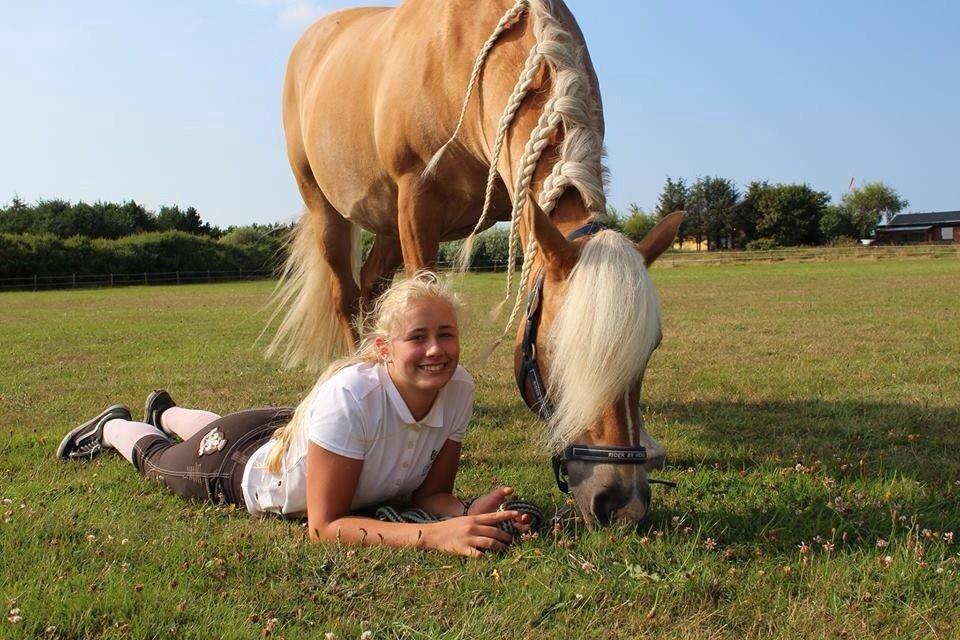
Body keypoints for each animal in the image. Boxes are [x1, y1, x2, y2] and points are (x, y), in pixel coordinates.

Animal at [270, 0, 688, 524]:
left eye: (651, 347)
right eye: (557, 348)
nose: (621, 502)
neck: (466, 53)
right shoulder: (416, 202)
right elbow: (423, 290)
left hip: (385, 223)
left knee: (372, 289)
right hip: (328, 209)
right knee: (346, 296)